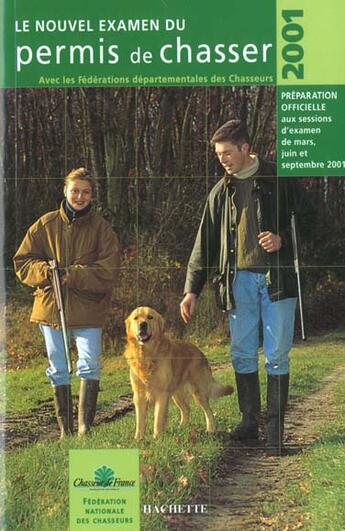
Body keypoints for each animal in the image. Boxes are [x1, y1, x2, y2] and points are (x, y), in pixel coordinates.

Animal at [122, 308, 232, 440]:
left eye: (150, 317)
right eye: (136, 318)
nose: (143, 324)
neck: (147, 356)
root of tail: (200, 351)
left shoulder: (162, 394)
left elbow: (158, 419)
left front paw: (157, 437)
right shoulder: (139, 395)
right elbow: (140, 421)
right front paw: (139, 439)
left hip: (199, 392)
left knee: (209, 411)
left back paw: (210, 429)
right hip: (177, 395)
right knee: (186, 410)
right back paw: (181, 427)